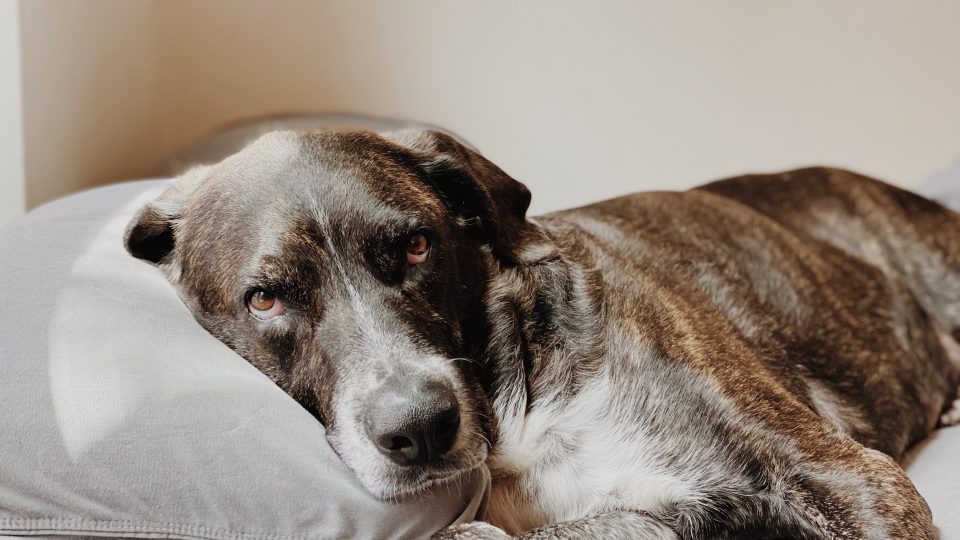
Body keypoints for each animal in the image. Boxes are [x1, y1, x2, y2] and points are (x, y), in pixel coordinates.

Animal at [125, 129, 960, 536]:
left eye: (418, 245)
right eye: (265, 299)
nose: (420, 428)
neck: (519, 411)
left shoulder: (850, 477)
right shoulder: (640, 523)